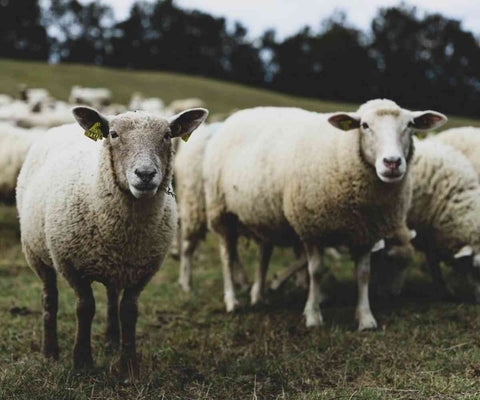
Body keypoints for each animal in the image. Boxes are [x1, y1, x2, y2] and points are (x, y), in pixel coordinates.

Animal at [16, 105, 208, 372]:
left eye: (168, 135)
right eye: (114, 135)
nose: (145, 174)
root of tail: (62, 125)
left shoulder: (142, 269)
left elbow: (128, 311)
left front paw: (128, 363)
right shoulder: (70, 264)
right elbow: (85, 307)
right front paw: (82, 361)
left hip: (115, 265)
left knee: (111, 296)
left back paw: (112, 341)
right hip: (36, 252)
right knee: (49, 297)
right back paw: (49, 351)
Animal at [202, 100, 446, 332]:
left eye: (410, 125)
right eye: (365, 125)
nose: (392, 162)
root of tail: (239, 114)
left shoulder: (365, 233)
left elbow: (363, 274)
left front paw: (366, 318)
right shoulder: (312, 228)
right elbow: (316, 271)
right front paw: (313, 315)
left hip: (263, 215)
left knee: (264, 254)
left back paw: (259, 296)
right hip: (221, 211)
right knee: (227, 256)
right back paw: (232, 301)